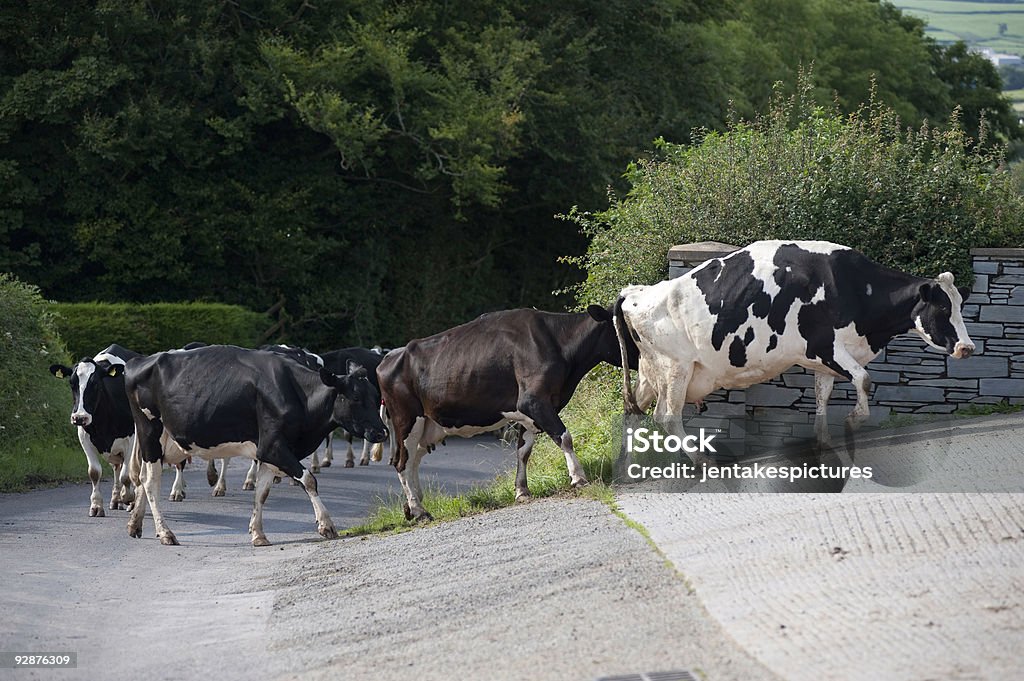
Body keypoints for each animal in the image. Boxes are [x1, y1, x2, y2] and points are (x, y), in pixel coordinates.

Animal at [50, 346, 140, 516]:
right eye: (71, 383)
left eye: (96, 383)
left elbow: (126, 475)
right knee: (117, 468)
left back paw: (132, 501)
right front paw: (97, 506)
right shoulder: (84, 437)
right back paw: (116, 500)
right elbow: (94, 472)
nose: (79, 417)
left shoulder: (131, 438)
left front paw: (128, 497)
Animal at [122, 342, 387, 544]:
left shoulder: (269, 452)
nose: (382, 432)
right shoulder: (273, 446)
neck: (298, 394)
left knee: (142, 477)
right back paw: (165, 533)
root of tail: (139, 361)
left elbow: (262, 492)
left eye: (376, 396)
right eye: (355, 397)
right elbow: (308, 479)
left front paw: (258, 533)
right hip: (150, 431)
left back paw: (135, 524)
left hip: (159, 441)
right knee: (150, 481)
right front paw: (326, 524)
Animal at [614, 241, 974, 444]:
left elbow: (822, 398)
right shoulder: (826, 346)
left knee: (635, 411)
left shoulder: (824, 362)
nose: (967, 348)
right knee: (667, 417)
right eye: (943, 309)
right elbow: (864, 379)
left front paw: (823, 440)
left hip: (652, 372)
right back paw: (696, 460)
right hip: (676, 368)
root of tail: (636, 291)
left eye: (960, 306)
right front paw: (854, 419)